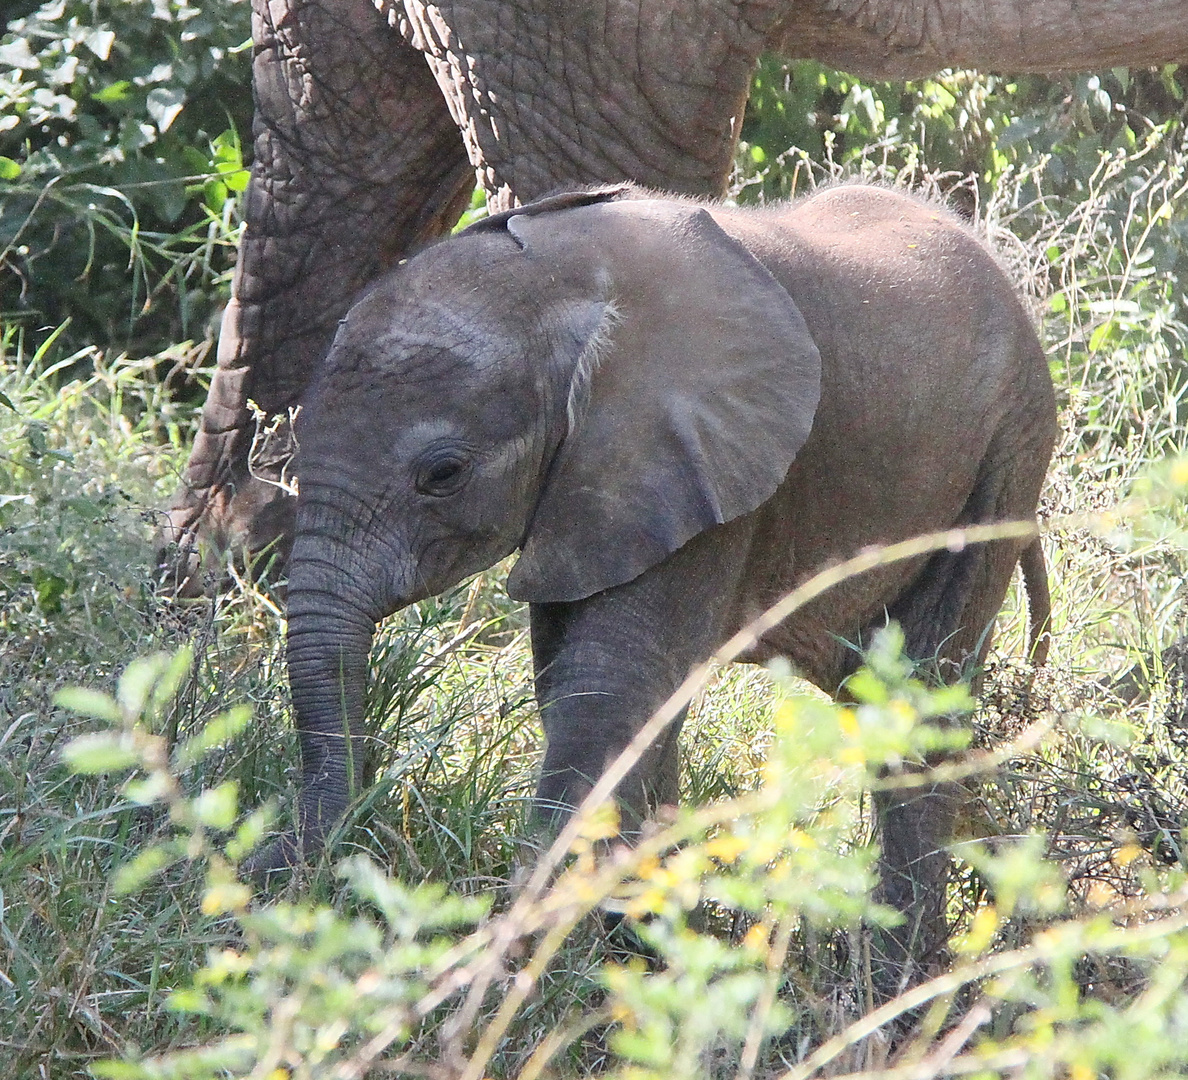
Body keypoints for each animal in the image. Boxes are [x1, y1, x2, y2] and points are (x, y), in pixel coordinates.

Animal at [264, 182, 1054, 979]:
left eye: (443, 474)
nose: (283, 871)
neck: (565, 279)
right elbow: (598, 689)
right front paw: (646, 958)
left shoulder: (694, 466)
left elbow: (607, 686)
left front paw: (517, 954)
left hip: (1007, 456)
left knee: (922, 695)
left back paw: (900, 977)